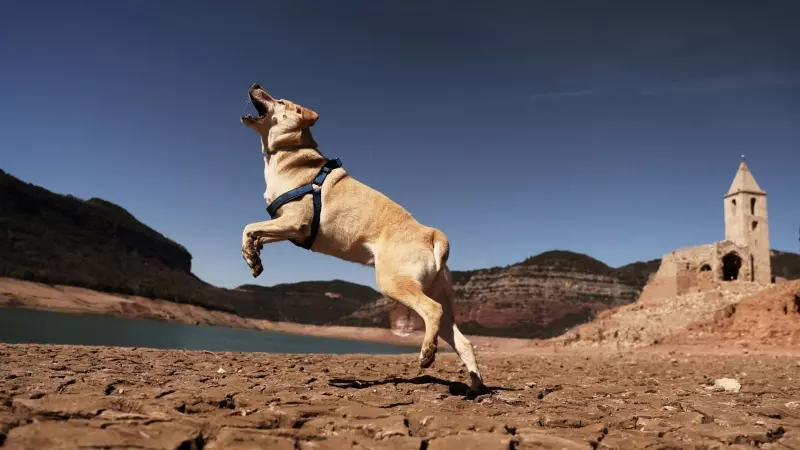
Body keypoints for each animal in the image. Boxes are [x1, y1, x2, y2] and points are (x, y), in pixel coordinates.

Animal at [241, 84, 484, 394]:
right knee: (463, 341)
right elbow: (254, 232)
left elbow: (248, 225)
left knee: (432, 311)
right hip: (435, 294)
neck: (288, 152)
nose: (255, 85)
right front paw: (253, 258)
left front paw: (251, 252)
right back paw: (474, 386)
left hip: (394, 283)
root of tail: (432, 234)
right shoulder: (289, 228)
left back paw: (427, 355)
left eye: (279, 100)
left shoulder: (295, 222)